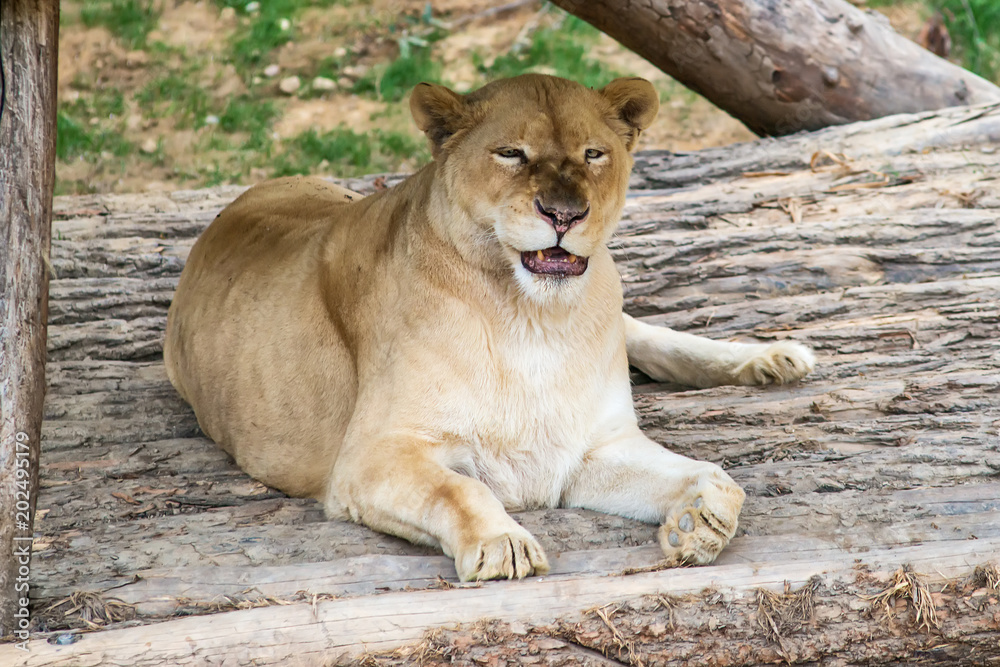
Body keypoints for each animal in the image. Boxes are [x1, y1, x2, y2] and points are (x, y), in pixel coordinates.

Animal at [164, 74, 814, 581]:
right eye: (510, 154)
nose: (564, 214)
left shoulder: (591, 448)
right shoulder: (370, 455)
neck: (534, 319)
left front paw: (697, 521)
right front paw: (503, 545)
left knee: (644, 334)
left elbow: (721, 480)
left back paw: (771, 359)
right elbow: (458, 488)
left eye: (593, 154)